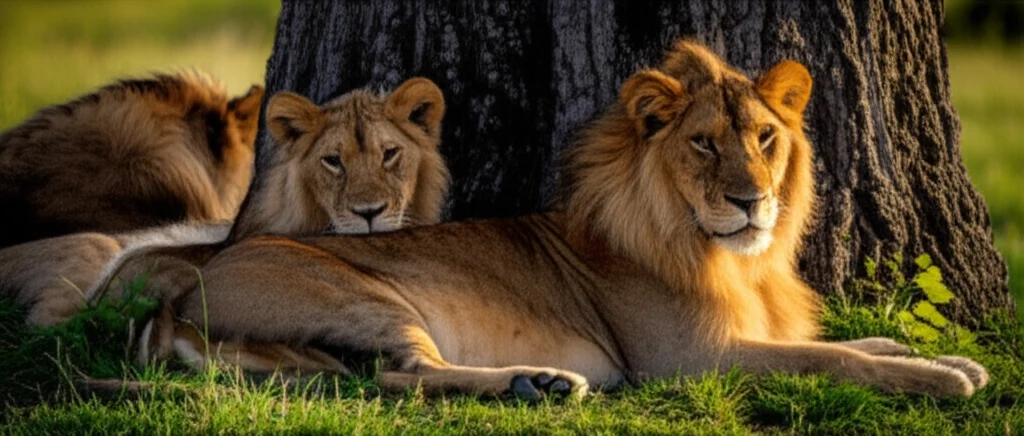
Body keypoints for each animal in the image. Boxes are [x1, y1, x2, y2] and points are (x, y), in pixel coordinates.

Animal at [166, 41, 989, 399]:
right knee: (403, 375)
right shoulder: (690, 361)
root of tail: (181, 299)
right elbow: (835, 360)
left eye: (764, 138)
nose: (751, 199)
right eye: (703, 143)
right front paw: (946, 378)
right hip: (366, 296)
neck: (741, 262)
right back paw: (544, 384)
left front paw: (941, 353)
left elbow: (846, 341)